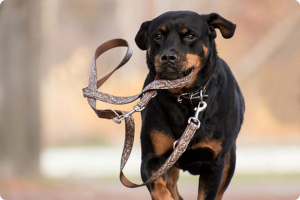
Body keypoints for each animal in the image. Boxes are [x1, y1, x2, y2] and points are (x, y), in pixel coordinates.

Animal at [135, 11, 244, 200]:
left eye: (190, 36)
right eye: (157, 36)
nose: (168, 57)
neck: (185, 97)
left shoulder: (214, 163)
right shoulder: (151, 159)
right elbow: (159, 189)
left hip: (229, 160)